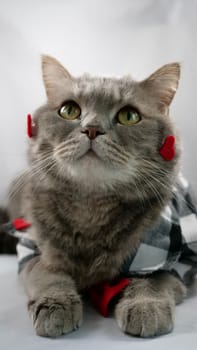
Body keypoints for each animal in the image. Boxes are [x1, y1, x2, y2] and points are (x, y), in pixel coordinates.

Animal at [3, 56, 197, 338]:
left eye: (129, 116)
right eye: (68, 110)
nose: (92, 129)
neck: (90, 209)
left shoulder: (176, 252)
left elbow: (152, 279)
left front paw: (145, 307)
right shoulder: (30, 245)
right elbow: (46, 272)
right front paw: (56, 306)